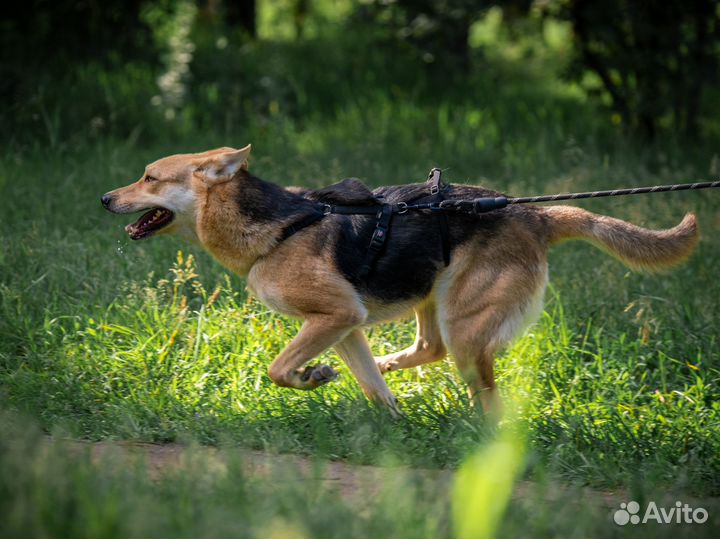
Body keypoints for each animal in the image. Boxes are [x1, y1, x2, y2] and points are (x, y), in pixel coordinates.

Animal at [101, 147, 696, 418]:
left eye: (149, 178)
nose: (105, 198)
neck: (278, 226)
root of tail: (536, 215)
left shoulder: (336, 317)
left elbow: (277, 369)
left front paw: (312, 377)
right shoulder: (346, 325)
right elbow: (370, 386)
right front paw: (388, 420)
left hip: (466, 326)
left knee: (485, 398)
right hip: (433, 298)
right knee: (427, 350)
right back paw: (396, 373)